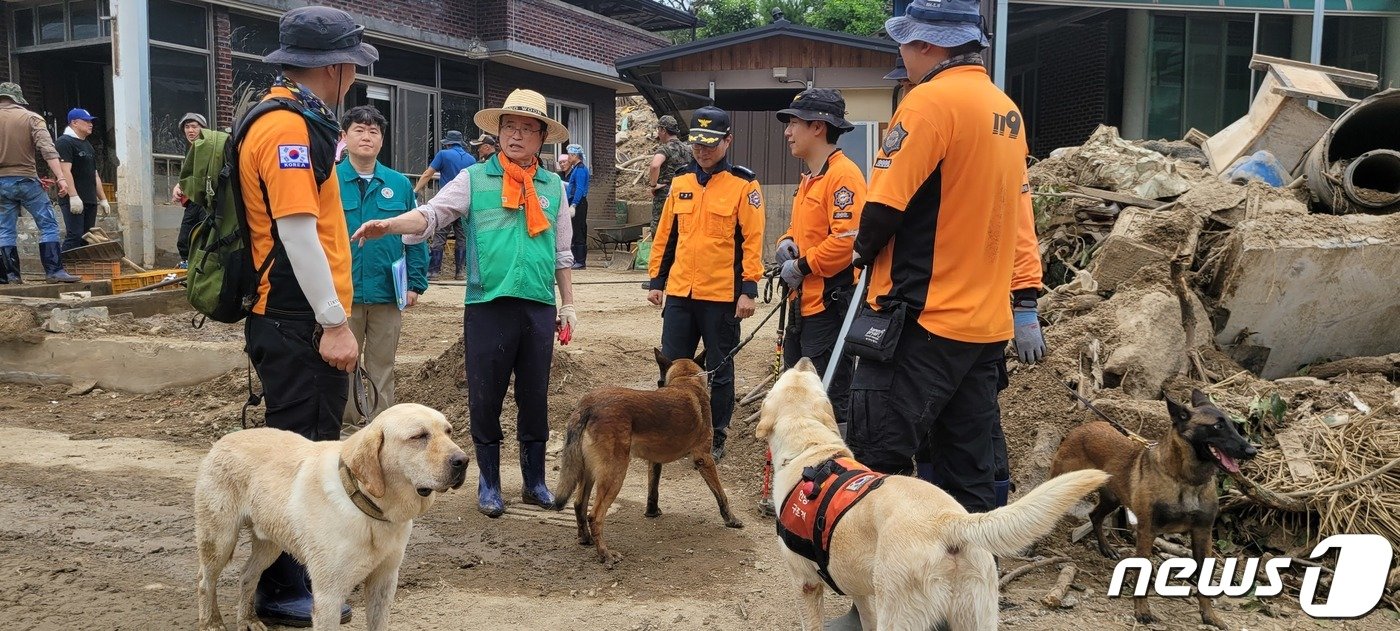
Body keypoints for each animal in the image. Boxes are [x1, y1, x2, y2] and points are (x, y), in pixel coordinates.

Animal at [194, 402, 467, 629]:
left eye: (449, 431)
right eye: (418, 436)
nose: (463, 460)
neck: (368, 507)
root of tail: (225, 439)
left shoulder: (384, 581)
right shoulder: (328, 595)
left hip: (269, 543)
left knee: (246, 576)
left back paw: (248, 620)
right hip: (220, 539)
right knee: (204, 581)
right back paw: (211, 623)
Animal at [548, 351, 744, 568]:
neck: (685, 381)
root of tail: (588, 405)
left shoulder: (654, 460)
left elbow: (653, 488)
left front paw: (652, 511)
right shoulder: (704, 458)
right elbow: (721, 495)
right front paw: (731, 519)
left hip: (589, 473)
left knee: (578, 504)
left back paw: (586, 539)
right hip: (614, 475)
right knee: (595, 515)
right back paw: (605, 554)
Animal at [761, 360, 1108, 631]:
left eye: (787, 376)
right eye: (803, 376)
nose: (804, 359)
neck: (811, 448)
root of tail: (949, 521)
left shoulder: (805, 584)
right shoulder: (861, 592)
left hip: (901, 613)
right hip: (975, 614)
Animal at [1052, 388, 1260, 629]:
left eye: (1234, 426)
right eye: (1217, 426)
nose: (1252, 451)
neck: (1186, 480)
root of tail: (1084, 426)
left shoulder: (1202, 533)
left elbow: (1203, 580)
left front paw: (1210, 616)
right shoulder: (1147, 531)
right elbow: (1142, 571)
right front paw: (1141, 611)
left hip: (1113, 498)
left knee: (1095, 515)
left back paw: (1106, 548)